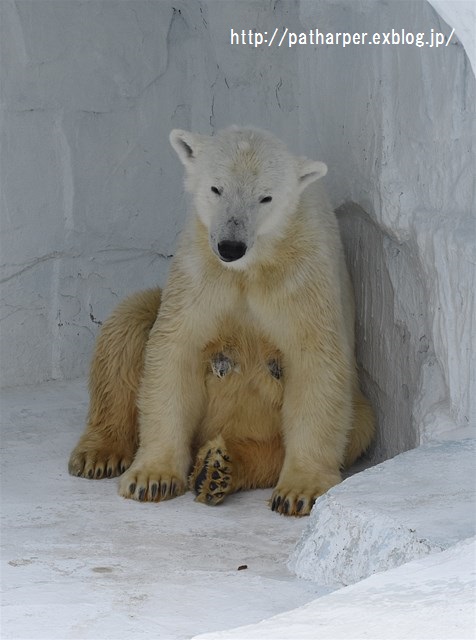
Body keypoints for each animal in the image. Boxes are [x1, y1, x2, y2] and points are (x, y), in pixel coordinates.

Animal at [68, 127, 376, 516]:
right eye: (217, 188)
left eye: (265, 197)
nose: (231, 246)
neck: (252, 265)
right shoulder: (200, 271)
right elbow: (175, 348)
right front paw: (152, 478)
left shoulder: (302, 277)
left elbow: (315, 362)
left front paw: (300, 491)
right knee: (130, 324)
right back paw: (101, 453)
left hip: (354, 410)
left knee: (347, 428)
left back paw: (217, 469)